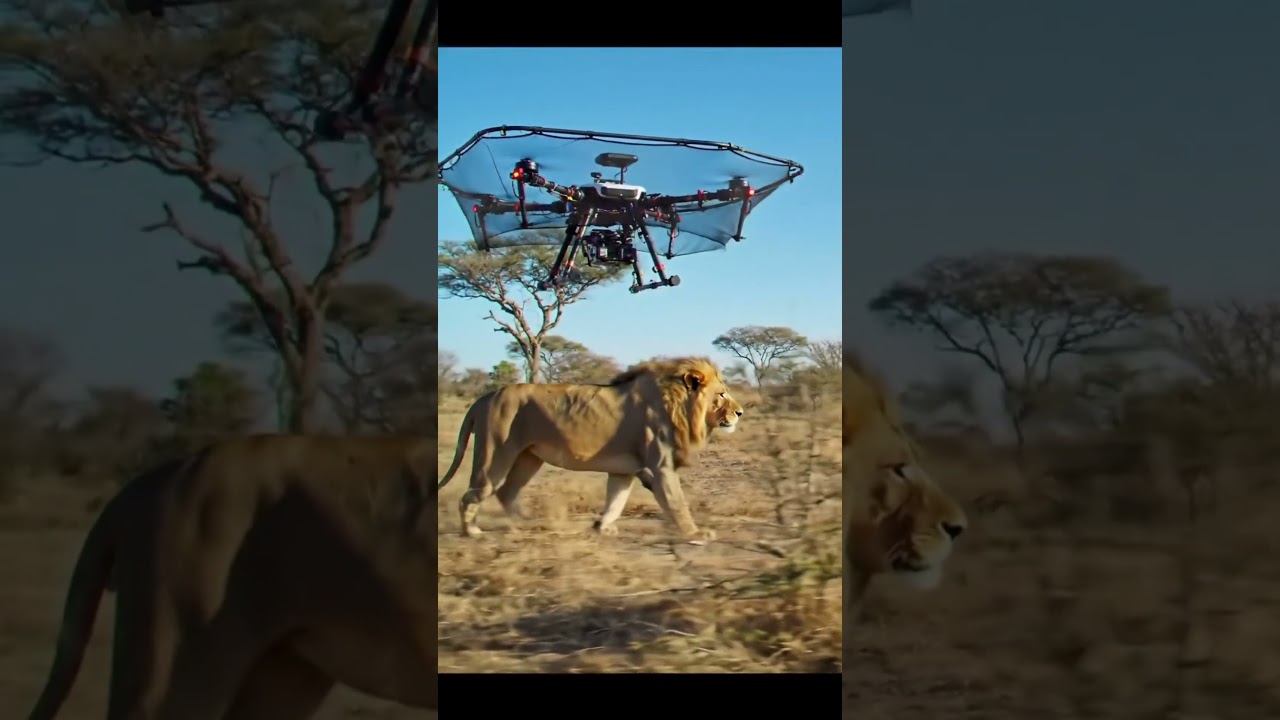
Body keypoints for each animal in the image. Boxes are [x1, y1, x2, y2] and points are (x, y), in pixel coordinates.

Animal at [437, 356, 743, 542]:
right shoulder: (661, 465)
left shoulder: (625, 469)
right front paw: (696, 532)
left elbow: (616, 500)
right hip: (496, 453)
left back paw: (528, 523)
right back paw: (472, 531)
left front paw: (603, 527)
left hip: (529, 457)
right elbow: (676, 502)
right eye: (722, 394)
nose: (740, 412)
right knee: (473, 494)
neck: (680, 406)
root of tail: (486, 396)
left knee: (506, 492)